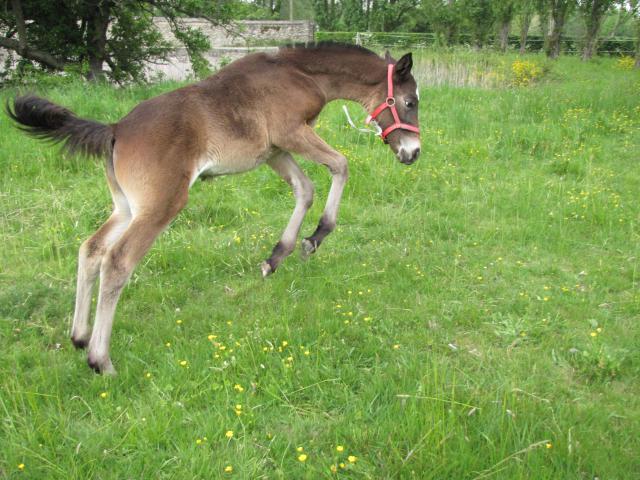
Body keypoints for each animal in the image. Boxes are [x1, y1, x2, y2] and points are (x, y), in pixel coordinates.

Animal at [10, 43, 422, 374]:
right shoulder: (291, 133)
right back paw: (101, 360)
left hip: (127, 206)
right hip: (161, 205)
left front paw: (277, 256)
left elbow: (304, 189)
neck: (299, 73)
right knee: (117, 262)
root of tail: (115, 129)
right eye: (409, 102)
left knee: (91, 249)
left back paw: (79, 336)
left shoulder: (273, 150)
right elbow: (341, 165)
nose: (413, 153)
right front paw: (315, 237)